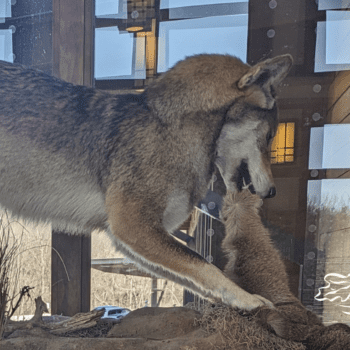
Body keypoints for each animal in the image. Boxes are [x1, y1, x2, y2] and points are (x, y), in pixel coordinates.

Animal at [0, 53, 292, 310]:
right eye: (270, 137)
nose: (274, 192)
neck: (173, 130)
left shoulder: (133, 239)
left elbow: (196, 277)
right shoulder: (133, 226)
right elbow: (205, 265)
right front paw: (248, 299)